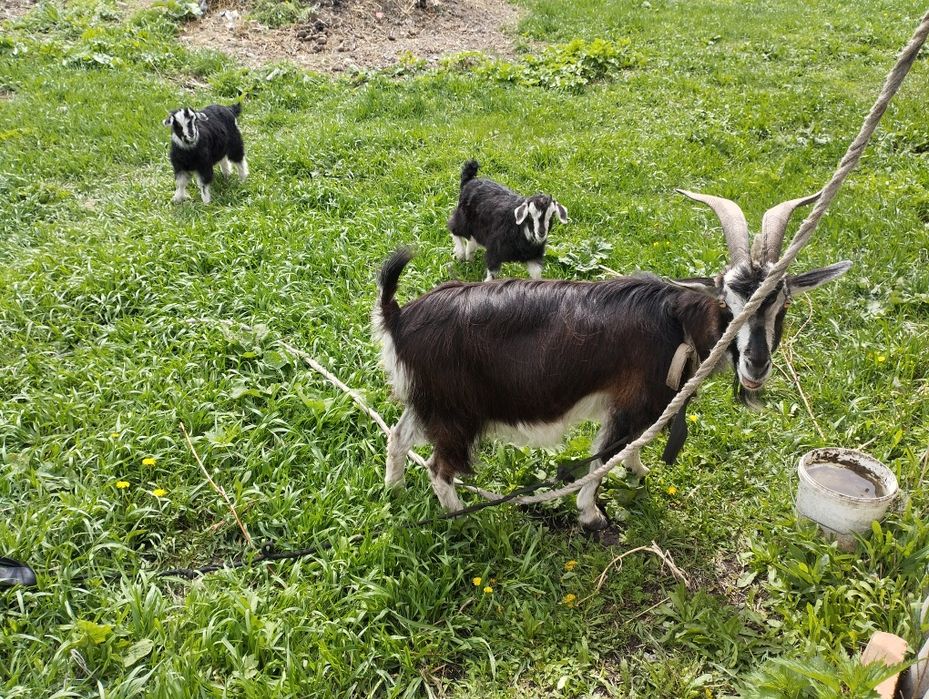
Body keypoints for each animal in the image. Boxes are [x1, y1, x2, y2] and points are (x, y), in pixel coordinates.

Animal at [373, 189, 851, 529]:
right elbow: (606, 455)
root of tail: (397, 317)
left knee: (398, 437)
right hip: (457, 411)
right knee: (440, 468)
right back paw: (457, 517)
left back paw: (393, 490)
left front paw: (638, 473)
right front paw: (591, 514)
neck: (674, 324)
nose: (756, 364)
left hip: (430, 399)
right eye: (728, 301)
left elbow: (634, 444)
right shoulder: (628, 399)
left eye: (781, 304)